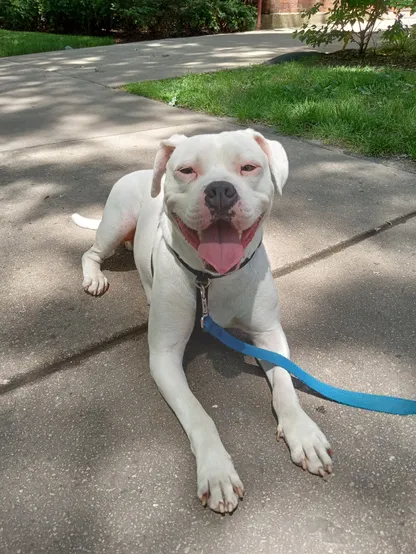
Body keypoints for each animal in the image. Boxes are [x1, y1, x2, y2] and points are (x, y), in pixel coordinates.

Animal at [71, 129, 332, 512]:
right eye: (186, 170)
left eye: (248, 167)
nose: (220, 189)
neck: (212, 279)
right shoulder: (164, 356)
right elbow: (199, 415)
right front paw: (217, 471)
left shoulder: (270, 336)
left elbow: (285, 389)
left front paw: (303, 433)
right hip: (115, 224)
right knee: (90, 252)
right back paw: (94, 277)